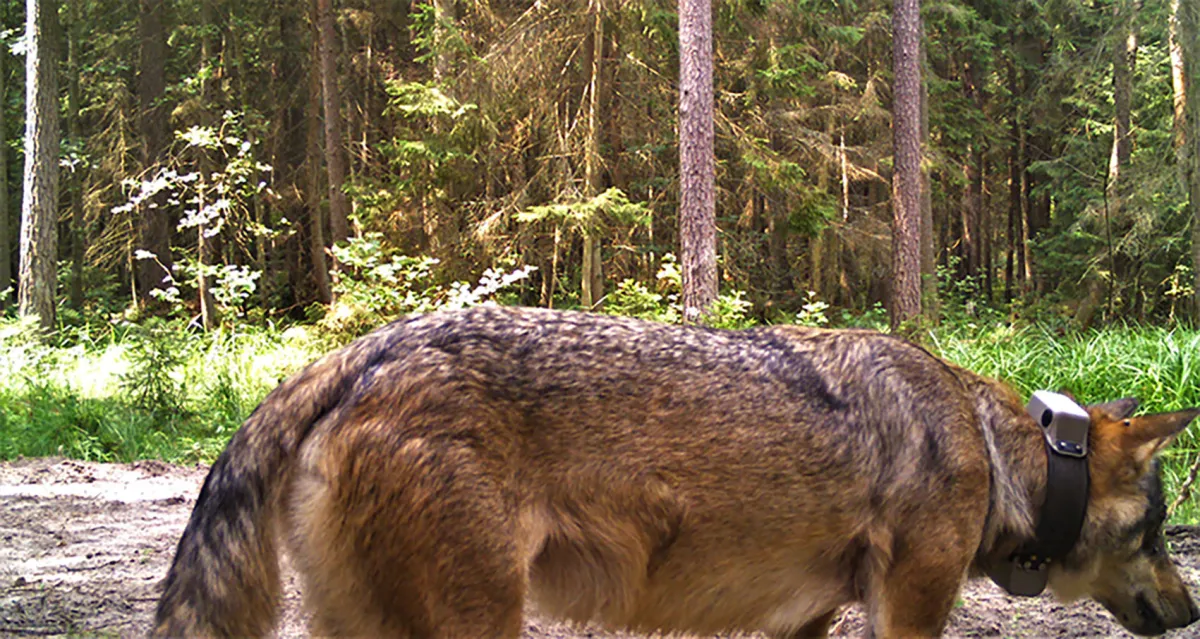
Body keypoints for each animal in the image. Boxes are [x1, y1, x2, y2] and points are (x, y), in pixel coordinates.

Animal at [153, 305, 1199, 638]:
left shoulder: (803, 620)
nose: (1192, 611)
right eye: (1158, 533)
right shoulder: (909, 607)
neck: (988, 447)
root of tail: (356, 354)